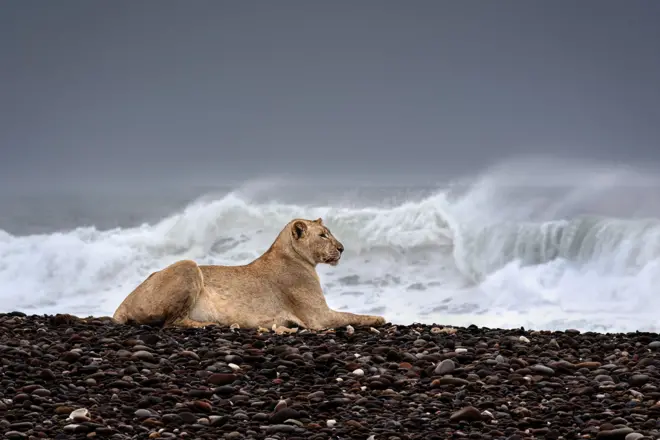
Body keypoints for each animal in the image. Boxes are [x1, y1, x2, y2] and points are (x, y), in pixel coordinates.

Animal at [112, 218, 386, 332]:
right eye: (323, 235)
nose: (342, 248)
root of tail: (123, 303)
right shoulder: (319, 317)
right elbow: (355, 316)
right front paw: (379, 318)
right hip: (189, 265)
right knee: (172, 323)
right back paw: (212, 324)